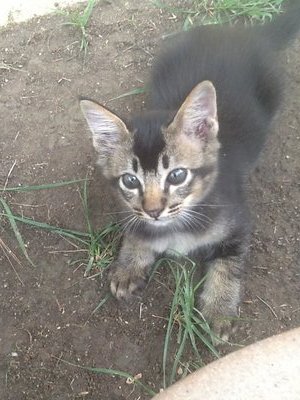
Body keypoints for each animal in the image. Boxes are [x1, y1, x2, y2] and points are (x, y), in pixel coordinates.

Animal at [79, 6, 300, 340]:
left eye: (176, 176)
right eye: (130, 180)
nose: (154, 211)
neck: (176, 224)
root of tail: (244, 33)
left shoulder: (238, 222)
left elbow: (228, 264)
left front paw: (219, 309)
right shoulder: (135, 212)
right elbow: (136, 228)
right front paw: (130, 263)